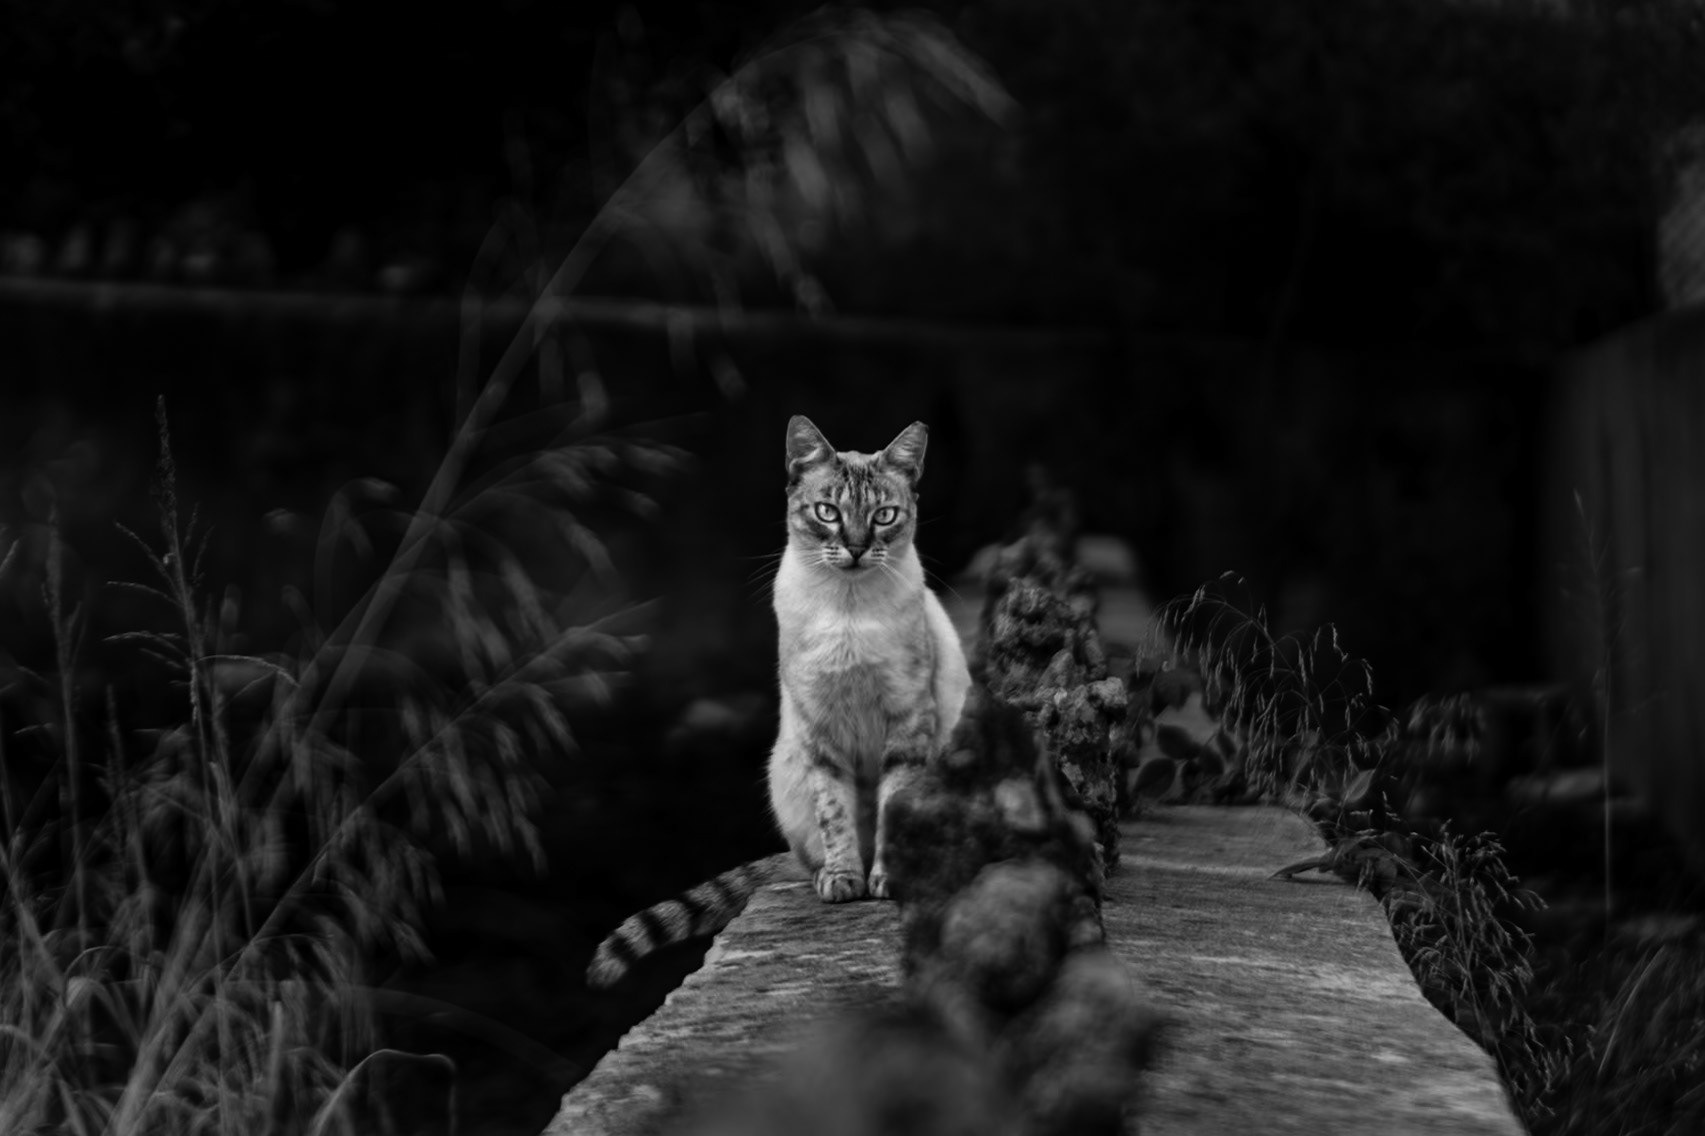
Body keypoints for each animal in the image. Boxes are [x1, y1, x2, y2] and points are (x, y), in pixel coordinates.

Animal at [586, 416, 970, 987]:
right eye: (827, 512)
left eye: (884, 516)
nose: (857, 548)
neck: (847, 613)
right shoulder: (820, 728)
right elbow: (836, 814)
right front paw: (844, 881)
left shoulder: (907, 723)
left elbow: (892, 807)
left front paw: (884, 881)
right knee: (811, 852)